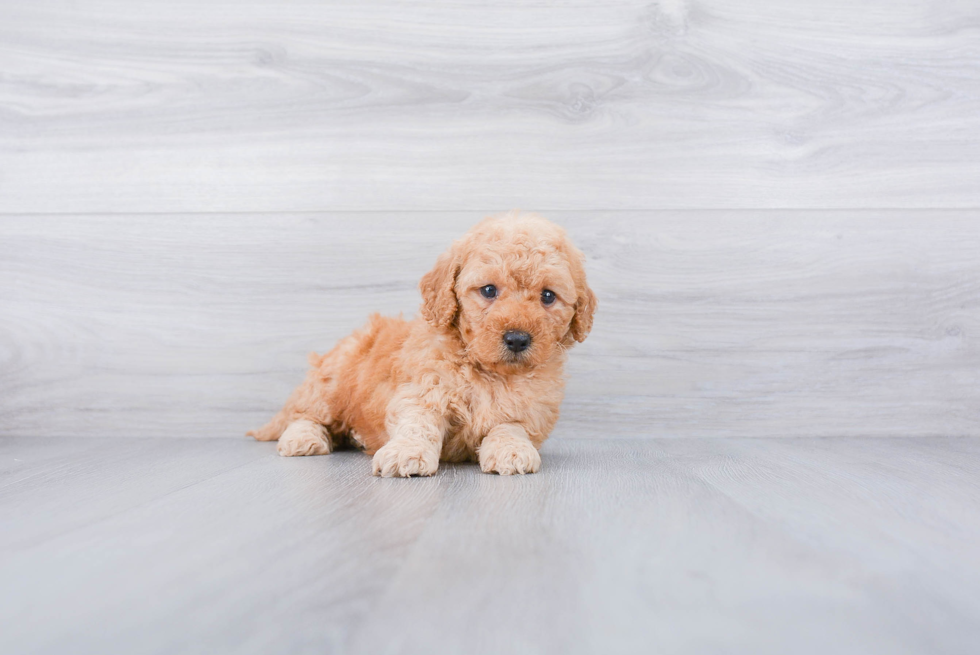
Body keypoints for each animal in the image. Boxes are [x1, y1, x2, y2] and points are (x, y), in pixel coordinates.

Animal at [245, 213, 596, 480]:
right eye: (488, 290)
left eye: (548, 296)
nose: (518, 338)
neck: (487, 371)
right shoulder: (421, 392)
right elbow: (418, 424)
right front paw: (406, 454)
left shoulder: (528, 412)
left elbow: (509, 428)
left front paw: (511, 450)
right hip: (331, 382)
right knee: (305, 415)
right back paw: (303, 438)